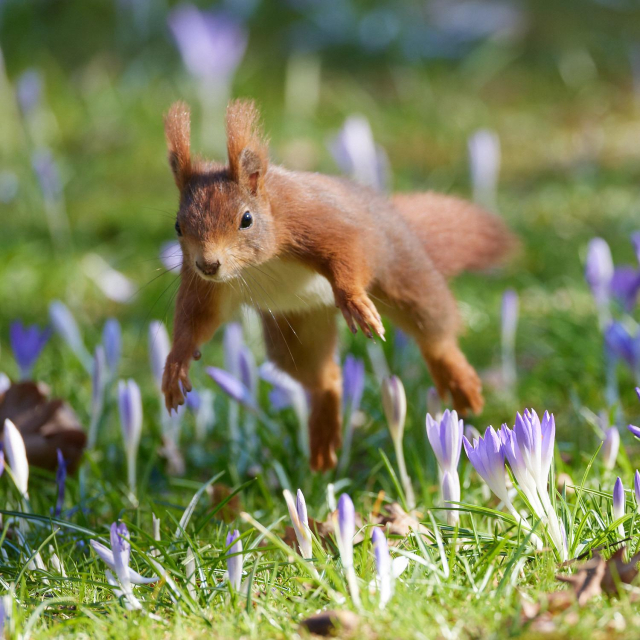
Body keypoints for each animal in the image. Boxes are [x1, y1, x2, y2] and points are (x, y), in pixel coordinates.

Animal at [161, 99, 515, 471]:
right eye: (178, 227)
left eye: (246, 219)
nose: (208, 264)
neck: (255, 264)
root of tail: (395, 214)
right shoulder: (206, 287)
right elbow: (195, 319)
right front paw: (176, 364)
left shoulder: (313, 221)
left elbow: (345, 250)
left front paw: (353, 301)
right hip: (298, 326)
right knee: (324, 376)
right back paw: (324, 434)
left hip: (402, 273)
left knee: (434, 330)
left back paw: (459, 381)